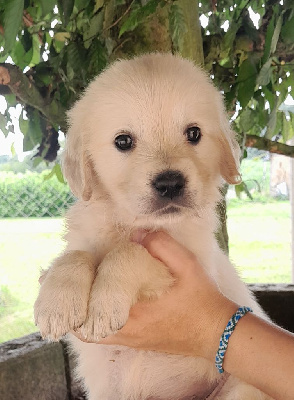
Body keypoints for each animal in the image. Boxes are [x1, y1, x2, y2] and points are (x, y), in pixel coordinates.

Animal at [35, 54, 274, 400]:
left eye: (194, 133)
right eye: (123, 141)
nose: (170, 183)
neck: (132, 222)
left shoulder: (189, 259)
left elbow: (131, 252)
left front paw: (104, 305)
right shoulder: (84, 237)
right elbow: (74, 256)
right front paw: (56, 306)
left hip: (241, 390)